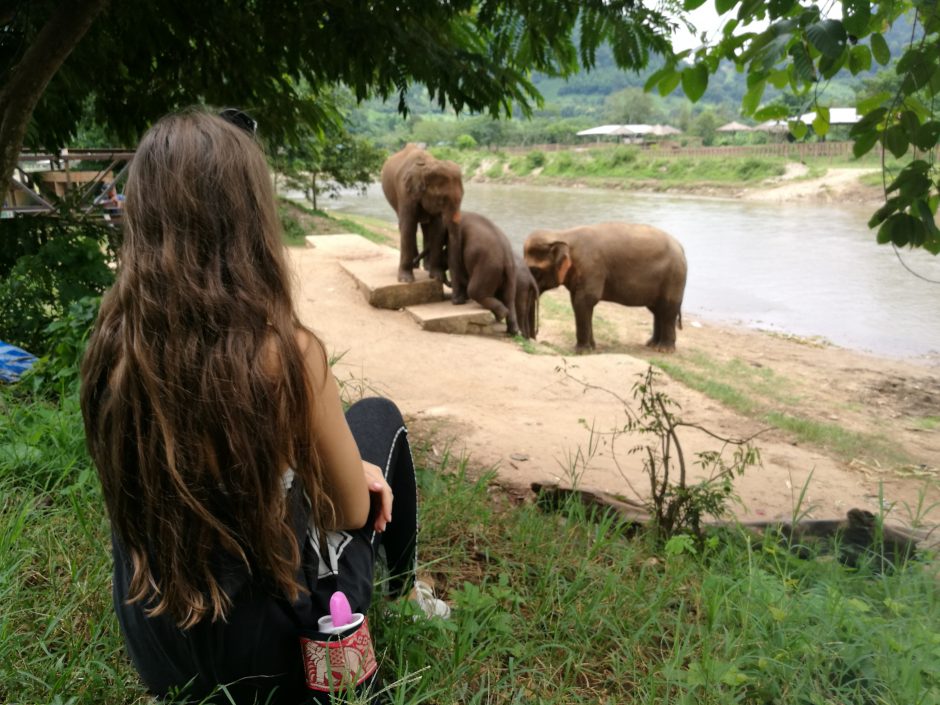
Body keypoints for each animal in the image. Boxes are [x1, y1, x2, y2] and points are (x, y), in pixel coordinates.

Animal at [380, 144, 464, 296]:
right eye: (442, 200)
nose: (448, 281)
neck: (425, 167)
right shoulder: (405, 192)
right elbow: (408, 226)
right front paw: (405, 280)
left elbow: (436, 228)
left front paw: (436, 276)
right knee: (405, 225)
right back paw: (417, 267)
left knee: (425, 227)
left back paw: (425, 267)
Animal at [524, 221, 688, 352]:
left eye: (535, 271)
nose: (534, 338)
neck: (562, 234)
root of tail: (680, 246)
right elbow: (578, 302)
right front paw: (591, 348)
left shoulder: (592, 267)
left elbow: (584, 301)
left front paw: (581, 351)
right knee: (657, 310)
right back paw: (651, 344)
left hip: (674, 277)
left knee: (668, 309)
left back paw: (664, 350)